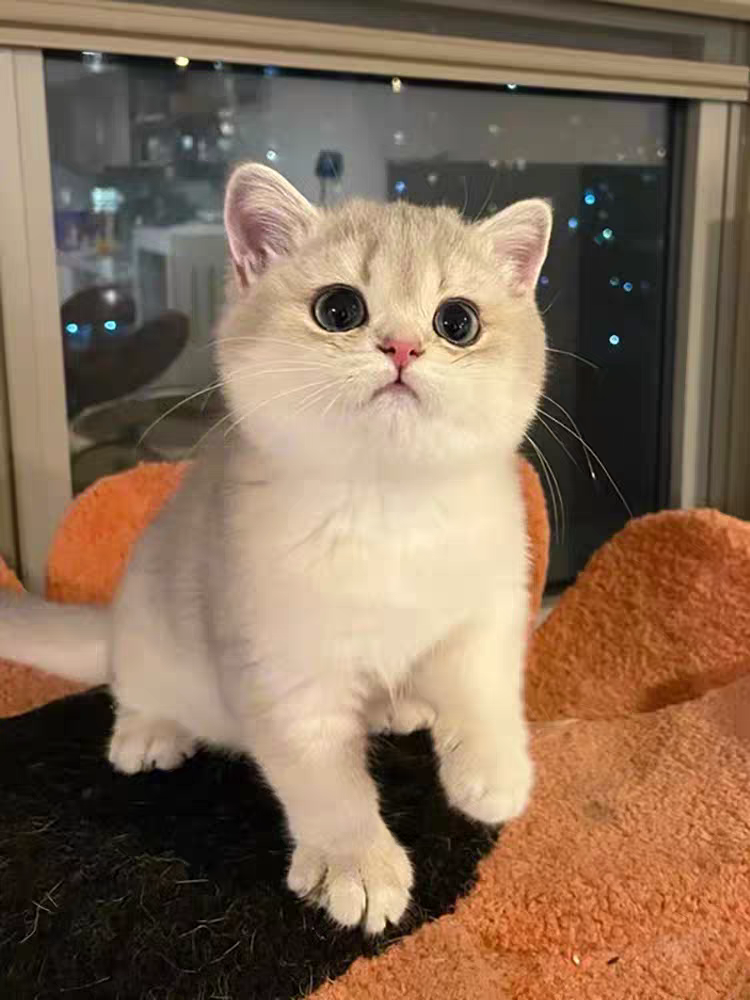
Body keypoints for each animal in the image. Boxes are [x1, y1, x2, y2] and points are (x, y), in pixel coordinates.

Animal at [0, 163, 551, 934]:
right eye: (340, 309)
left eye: (458, 322)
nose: (404, 348)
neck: (389, 506)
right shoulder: (285, 669)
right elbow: (325, 781)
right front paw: (357, 864)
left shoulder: (486, 613)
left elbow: (484, 694)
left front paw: (493, 774)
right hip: (147, 620)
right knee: (131, 682)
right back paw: (149, 733)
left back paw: (400, 705)